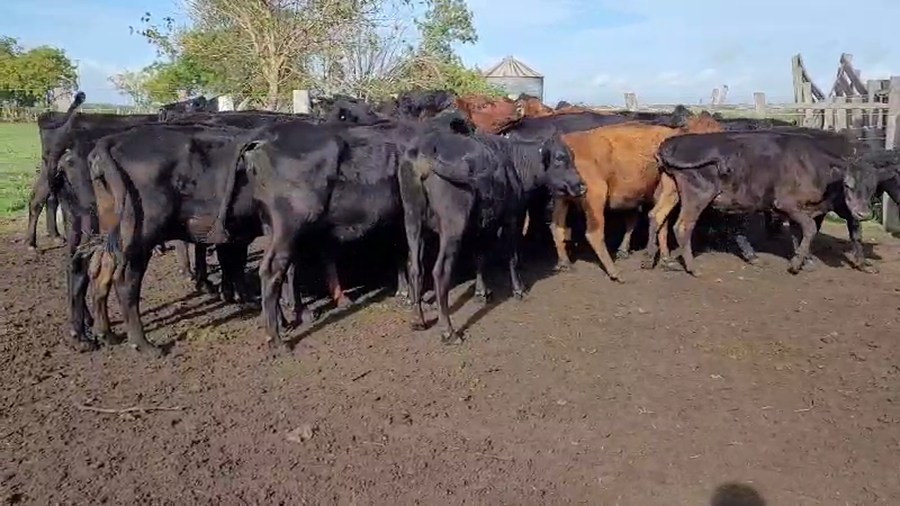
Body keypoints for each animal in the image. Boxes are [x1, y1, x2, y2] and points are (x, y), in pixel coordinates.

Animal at [398, 130, 586, 344]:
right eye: (559, 158)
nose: (581, 186)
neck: (514, 163)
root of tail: (425, 147)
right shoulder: (512, 218)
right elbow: (512, 257)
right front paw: (519, 289)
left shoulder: (482, 225)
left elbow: (480, 257)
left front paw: (482, 291)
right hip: (452, 226)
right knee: (439, 272)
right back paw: (448, 331)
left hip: (412, 221)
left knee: (415, 267)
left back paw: (417, 319)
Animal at [552, 114, 724, 280]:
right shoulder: (667, 192)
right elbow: (658, 220)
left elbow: (659, 224)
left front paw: (666, 260)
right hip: (596, 198)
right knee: (594, 233)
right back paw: (615, 272)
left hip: (562, 200)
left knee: (557, 227)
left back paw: (565, 264)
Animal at [654, 129, 876, 275]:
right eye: (847, 184)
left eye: (873, 187)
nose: (864, 213)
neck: (814, 165)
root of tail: (671, 143)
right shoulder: (785, 203)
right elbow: (810, 229)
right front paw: (796, 264)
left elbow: (800, 232)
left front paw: (804, 259)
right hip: (698, 195)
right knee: (683, 226)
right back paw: (693, 268)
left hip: (671, 191)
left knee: (658, 216)